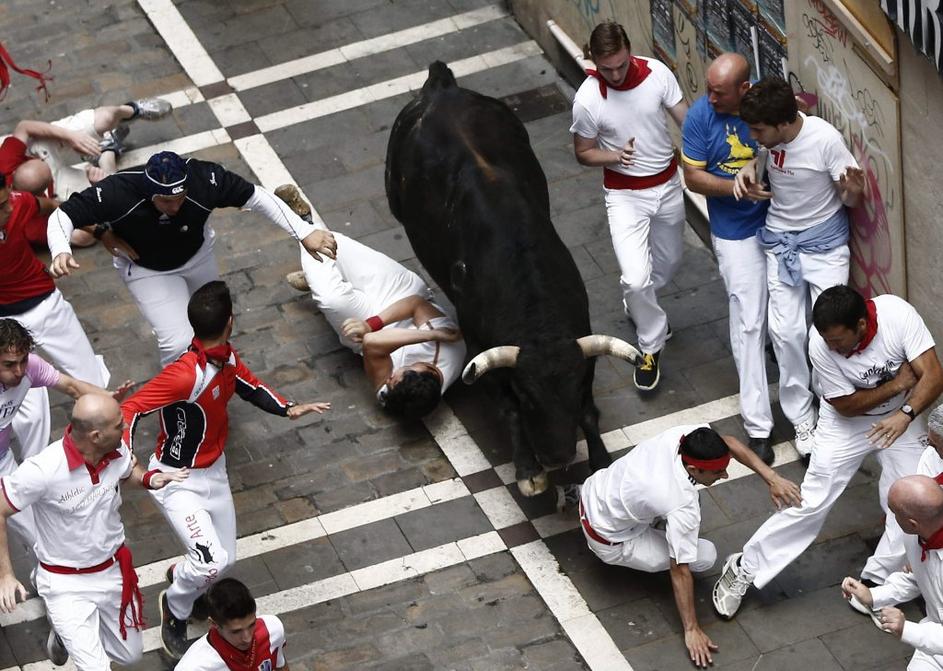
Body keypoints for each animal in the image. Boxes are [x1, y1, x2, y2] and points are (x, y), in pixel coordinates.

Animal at [384, 61, 640, 494]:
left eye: (572, 391)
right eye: (528, 395)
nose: (558, 457)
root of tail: (441, 86)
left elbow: (590, 411)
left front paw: (600, 461)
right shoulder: (480, 349)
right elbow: (507, 410)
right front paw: (528, 471)